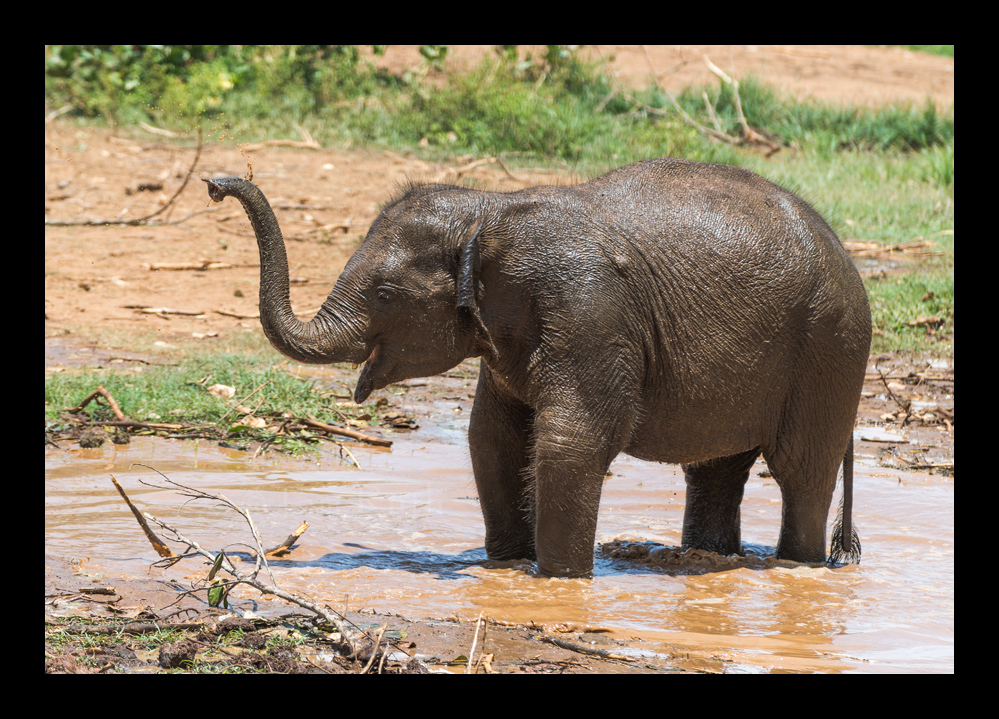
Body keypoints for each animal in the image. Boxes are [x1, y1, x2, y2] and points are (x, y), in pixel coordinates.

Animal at [207, 158, 872, 580]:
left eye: (387, 295)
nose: (215, 184)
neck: (488, 211)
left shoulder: (589, 308)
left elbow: (571, 442)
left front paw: (559, 581)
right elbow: (493, 439)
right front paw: (503, 566)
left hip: (830, 349)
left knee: (800, 473)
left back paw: (797, 567)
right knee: (715, 471)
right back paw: (711, 560)